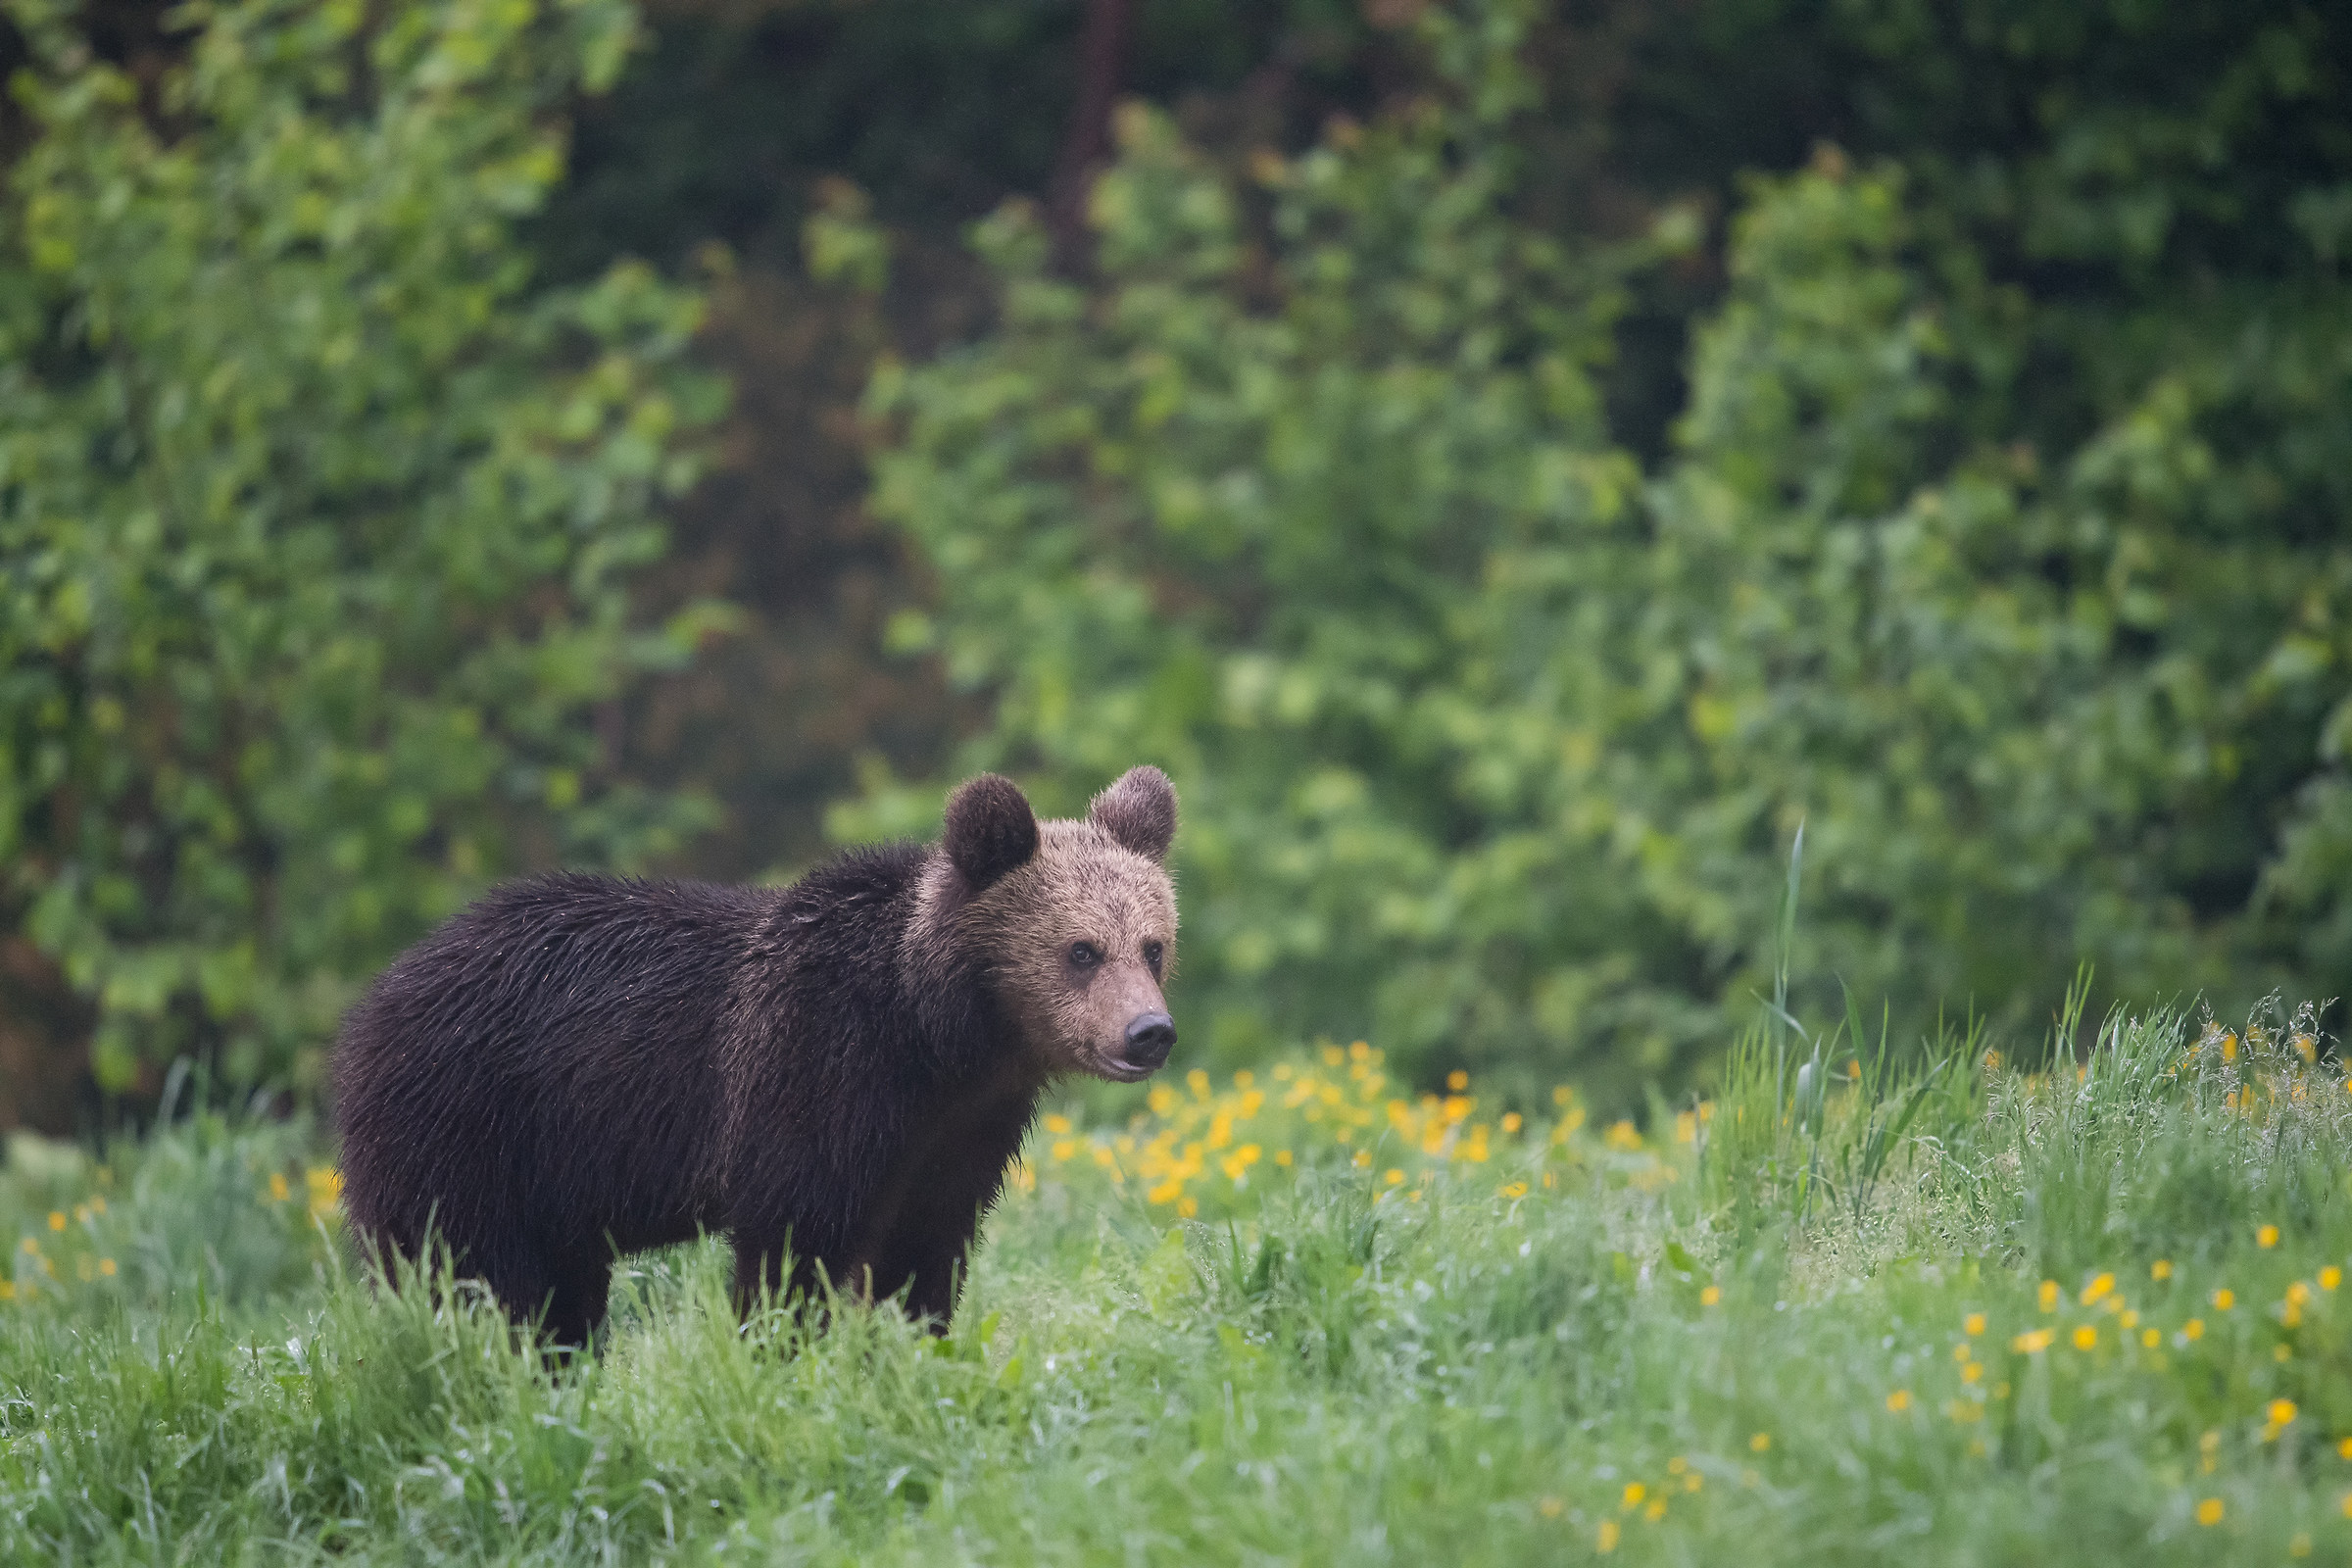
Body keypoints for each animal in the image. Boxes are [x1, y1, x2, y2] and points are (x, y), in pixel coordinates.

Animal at [331, 766, 1178, 1344]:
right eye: (1081, 950)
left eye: (1153, 945)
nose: (1149, 1031)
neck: (935, 1037)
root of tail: (376, 998)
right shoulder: (811, 1074)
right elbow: (794, 1246)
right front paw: (783, 1354)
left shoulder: (957, 1137)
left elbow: (925, 1255)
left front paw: (909, 1349)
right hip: (466, 1131)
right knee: (467, 1274)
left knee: (558, 1296)